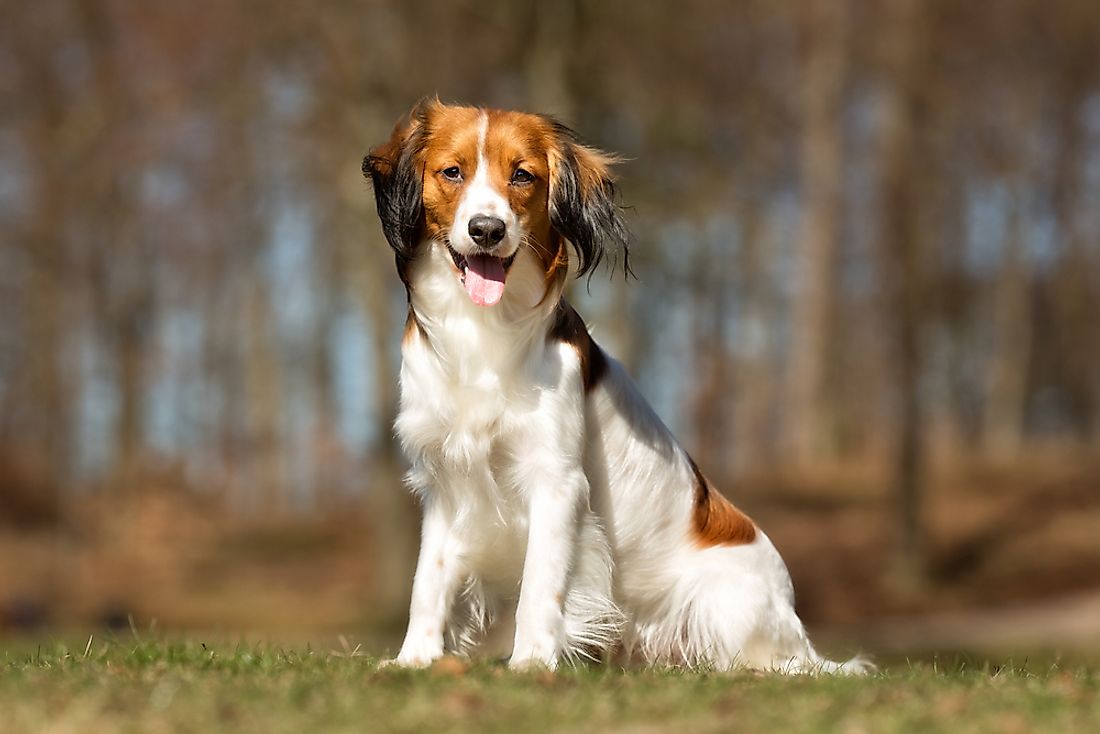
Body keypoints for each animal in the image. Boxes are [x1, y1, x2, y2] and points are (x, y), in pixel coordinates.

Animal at [360, 100, 866, 673]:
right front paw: (414, 659)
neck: (481, 331)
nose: (487, 229)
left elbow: (541, 585)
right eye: (452, 172)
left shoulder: (556, 481)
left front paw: (532, 663)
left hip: (729, 607)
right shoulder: (445, 477)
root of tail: (796, 626)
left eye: (522, 176)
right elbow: (430, 578)